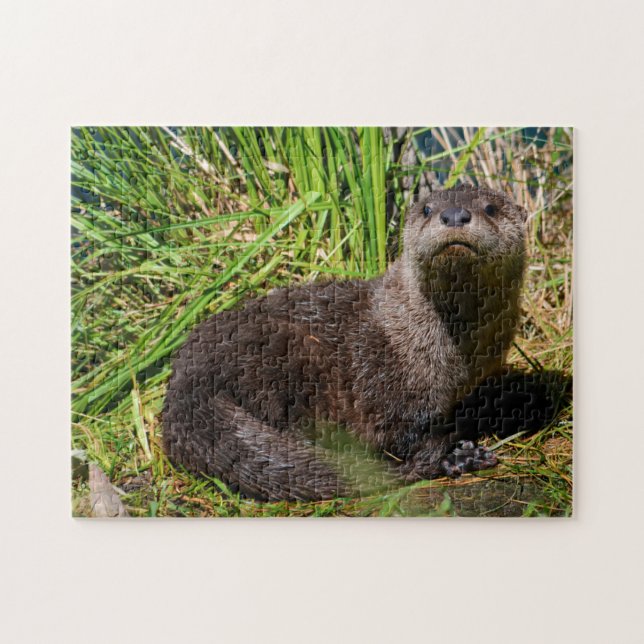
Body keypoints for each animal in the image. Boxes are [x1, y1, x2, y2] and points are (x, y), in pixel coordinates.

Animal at [162, 185, 528, 501]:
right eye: (427, 209)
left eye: (490, 208)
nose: (453, 215)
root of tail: (187, 386)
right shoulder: (384, 388)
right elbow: (397, 437)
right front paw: (455, 454)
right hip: (286, 359)